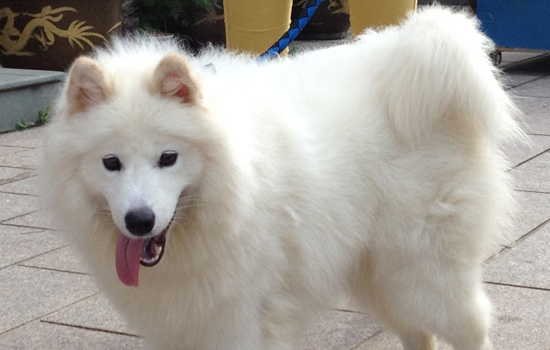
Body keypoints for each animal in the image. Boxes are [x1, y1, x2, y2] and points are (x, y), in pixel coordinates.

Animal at [41, 6, 524, 350]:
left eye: (168, 158)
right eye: (111, 163)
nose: (139, 221)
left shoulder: (240, 322)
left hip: (425, 272)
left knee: (469, 329)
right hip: (381, 274)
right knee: (417, 333)